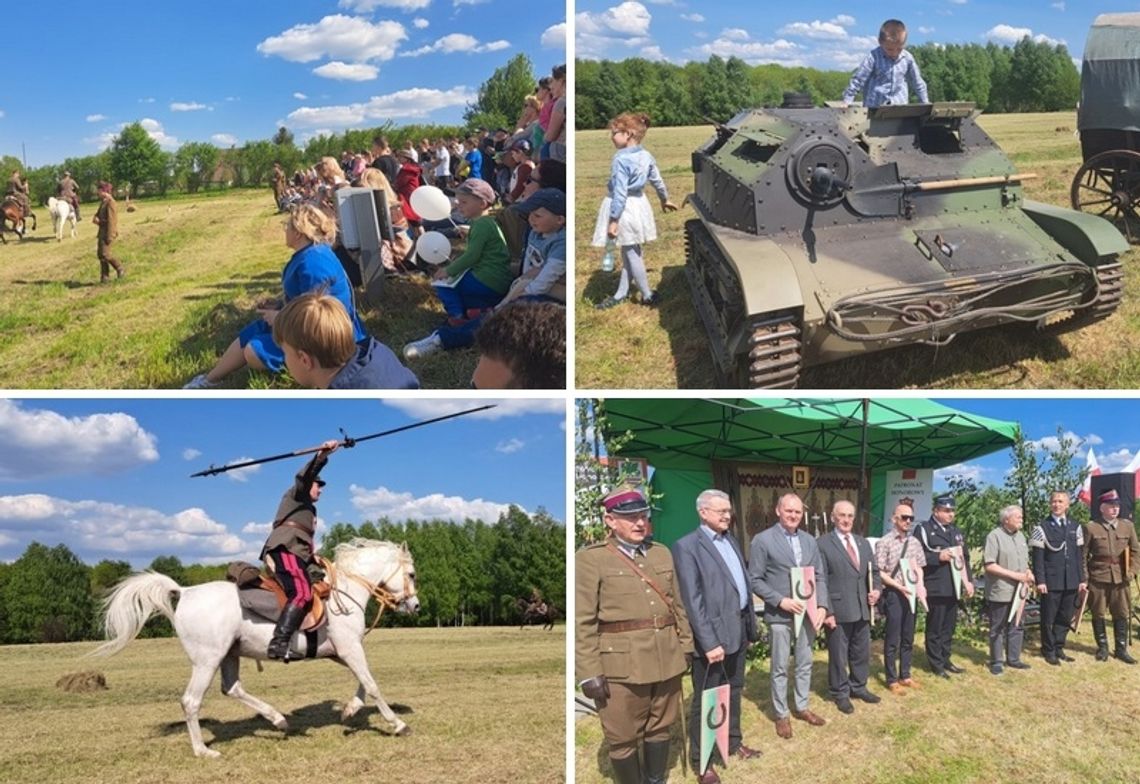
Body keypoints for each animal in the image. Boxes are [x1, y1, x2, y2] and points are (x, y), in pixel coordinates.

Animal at [90, 537, 419, 761]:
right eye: (412, 574)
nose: (415, 606)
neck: (346, 591)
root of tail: (185, 591)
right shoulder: (349, 648)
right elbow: (372, 684)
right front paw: (397, 723)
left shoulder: (341, 651)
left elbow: (363, 682)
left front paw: (350, 710)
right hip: (207, 660)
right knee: (191, 701)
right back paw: (203, 750)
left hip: (229, 655)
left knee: (232, 688)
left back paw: (277, 719)